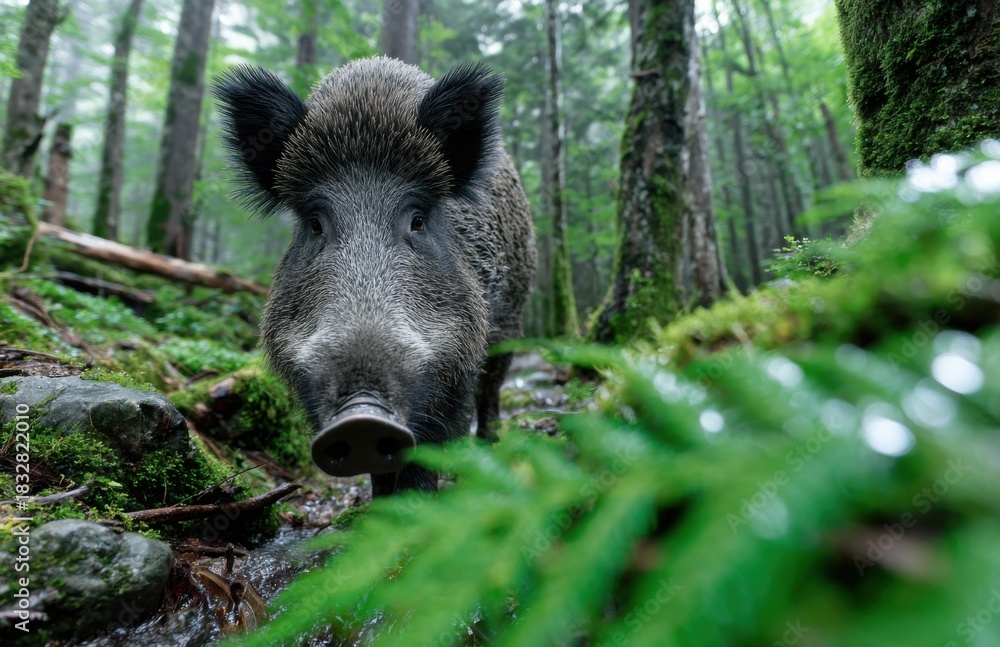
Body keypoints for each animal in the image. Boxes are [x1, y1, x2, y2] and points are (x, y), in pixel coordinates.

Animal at [213, 57, 536, 494]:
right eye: (315, 223)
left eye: (418, 219)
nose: (361, 418)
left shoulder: (459, 359)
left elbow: (430, 447)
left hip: (513, 319)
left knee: (492, 393)